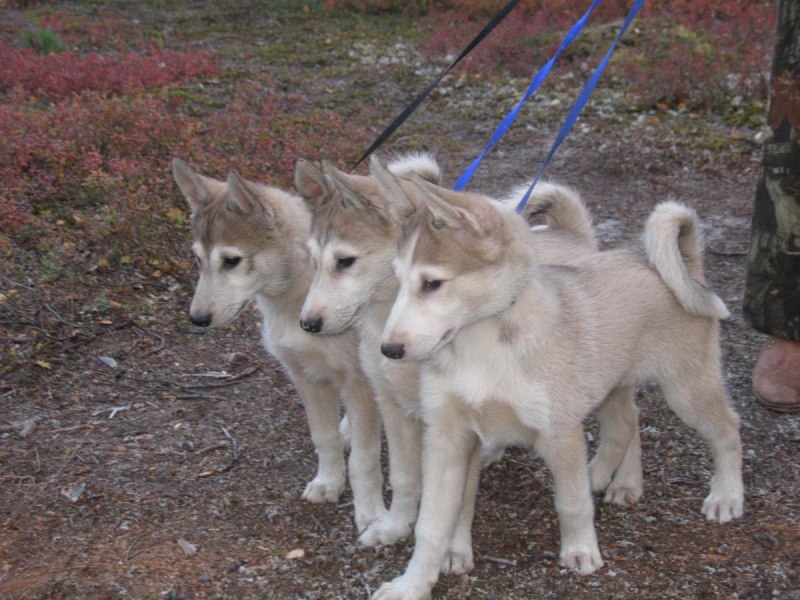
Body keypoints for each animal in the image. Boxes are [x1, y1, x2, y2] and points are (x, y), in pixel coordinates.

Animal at [171, 159, 388, 535]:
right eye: (197, 259)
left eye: (231, 261)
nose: (197, 319)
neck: (294, 302)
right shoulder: (305, 377)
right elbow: (323, 438)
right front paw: (328, 482)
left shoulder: (357, 380)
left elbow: (364, 460)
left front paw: (371, 514)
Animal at [294, 154, 644, 570]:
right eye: (312, 262)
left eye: (345, 262)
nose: (308, 324)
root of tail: (572, 234)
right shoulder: (398, 411)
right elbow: (405, 478)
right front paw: (395, 526)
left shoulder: (458, 424)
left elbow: (459, 500)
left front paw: (452, 551)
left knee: (629, 416)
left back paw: (627, 482)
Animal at [371, 164, 743, 600]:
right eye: (397, 280)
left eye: (432, 284)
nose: (389, 350)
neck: (482, 343)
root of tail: (684, 264)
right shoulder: (448, 439)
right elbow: (431, 526)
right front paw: (411, 585)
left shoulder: (559, 432)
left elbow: (571, 503)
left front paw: (581, 550)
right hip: (609, 385)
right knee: (627, 423)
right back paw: (616, 480)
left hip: (686, 390)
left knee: (727, 429)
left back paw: (726, 495)